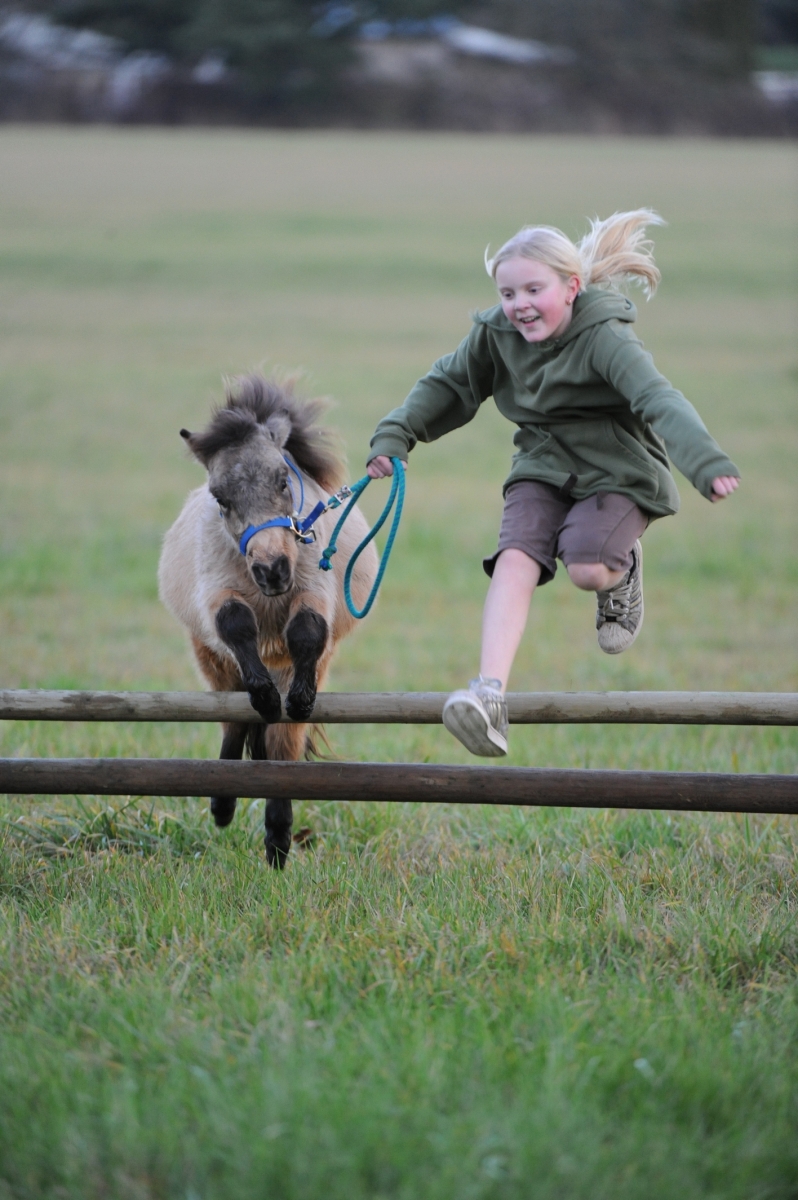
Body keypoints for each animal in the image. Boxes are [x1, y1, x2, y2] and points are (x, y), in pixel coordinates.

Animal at [158, 374, 378, 867]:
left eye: (282, 479)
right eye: (220, 497)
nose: (272, 569)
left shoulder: (314, 593)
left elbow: (307, 633)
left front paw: (298, 699)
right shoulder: (218, 595)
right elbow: (236, 624)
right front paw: (261, 693)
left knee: (282, 742)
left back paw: (278, 836)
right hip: (209, 657)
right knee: (232, 716)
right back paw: (223, 804)